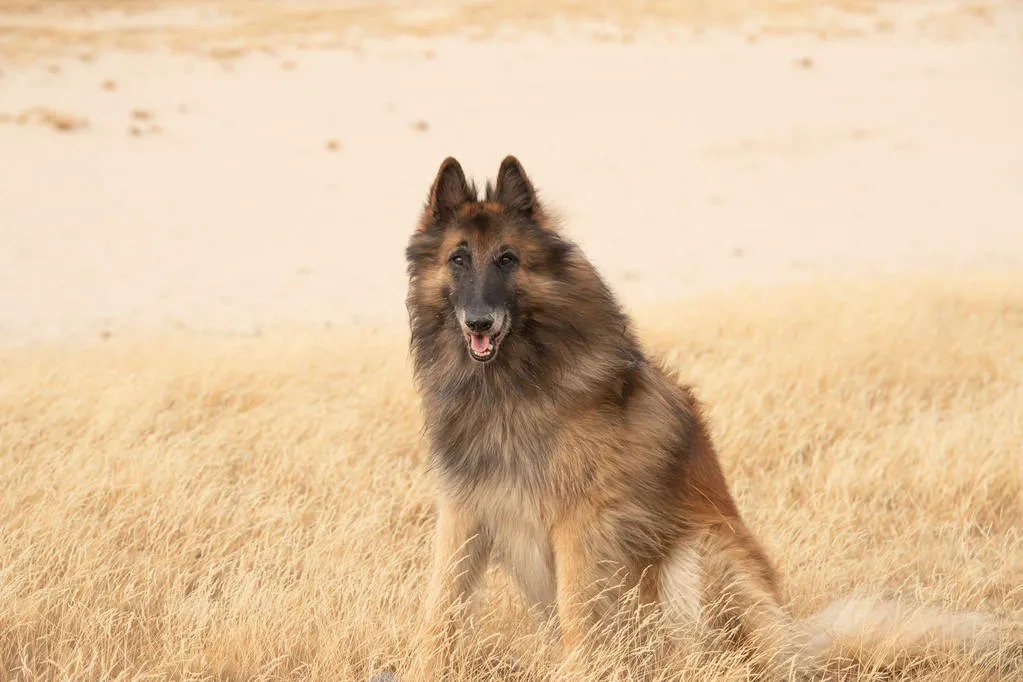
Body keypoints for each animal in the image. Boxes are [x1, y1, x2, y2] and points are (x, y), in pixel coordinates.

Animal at [401, 157, 1006, 678]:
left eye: (508, 259)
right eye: (458, 259)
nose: (479, 321)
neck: (510, 381)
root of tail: (797, 637)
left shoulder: (577, 525)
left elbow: (577, 617)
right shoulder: (464, 513)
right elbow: (439, 609)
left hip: (700, 554)